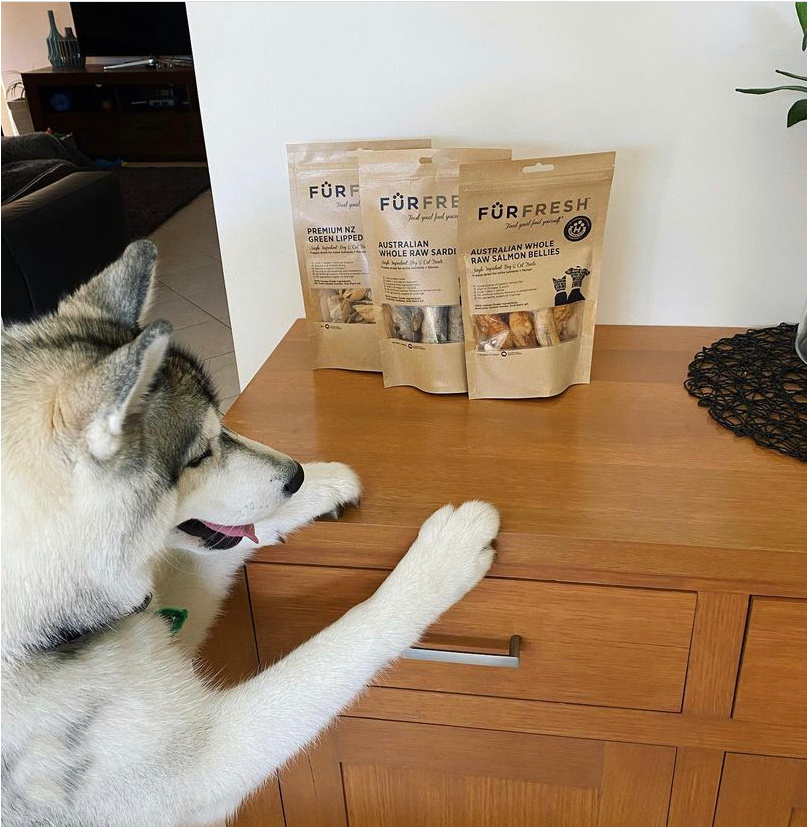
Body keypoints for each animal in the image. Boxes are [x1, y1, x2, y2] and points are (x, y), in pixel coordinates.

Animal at [0, 241, 498, 827]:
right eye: (199, 454)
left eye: (224, 426)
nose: (296, 474)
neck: (43, 629)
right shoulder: (200, 766)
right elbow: (346, 641)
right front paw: (441, 559)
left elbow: (227, 550)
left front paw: (321, 485)